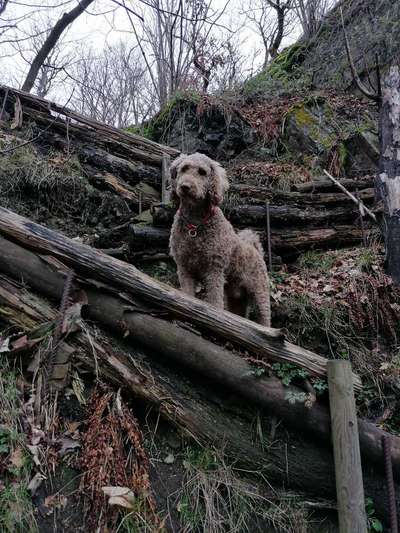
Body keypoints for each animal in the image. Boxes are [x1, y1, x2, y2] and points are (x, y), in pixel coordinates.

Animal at [167, 150, 270, 324]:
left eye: (202, 172)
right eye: (184, 168)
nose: (185, 187)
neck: (195, 225)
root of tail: (256, 250)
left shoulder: (214, 270)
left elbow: (215, 301)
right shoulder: (184, 268)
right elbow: (187, 294)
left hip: (260, 293)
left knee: (265, 319)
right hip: (236, 297)